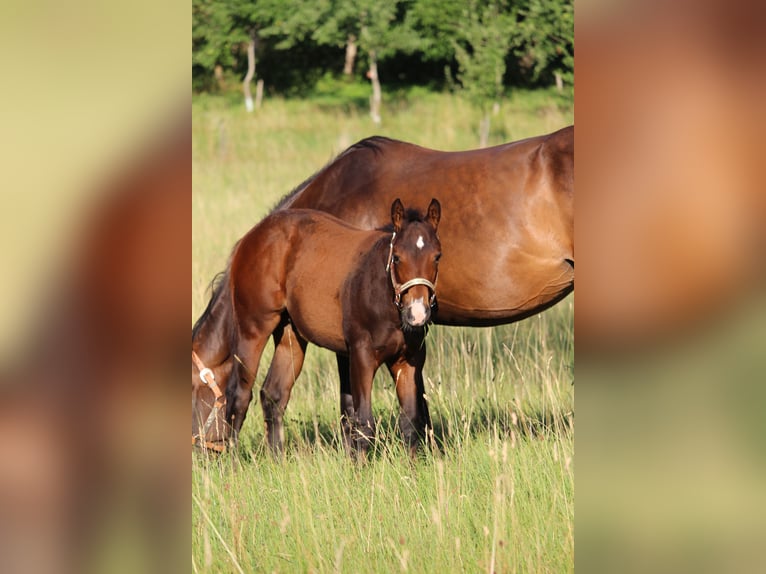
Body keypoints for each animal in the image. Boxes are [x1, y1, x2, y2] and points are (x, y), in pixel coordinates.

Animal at [193, 199, 442, 456]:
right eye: (398, 257)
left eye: (437, 257)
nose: (417, 313)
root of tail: (249, 238)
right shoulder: (360, 355)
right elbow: (364, 423)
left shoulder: (408, 359)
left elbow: (411, 422)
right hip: (252, 328)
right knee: (239, 396)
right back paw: (233, 462)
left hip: (290, 334)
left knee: (274, 394)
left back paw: (277, 460)